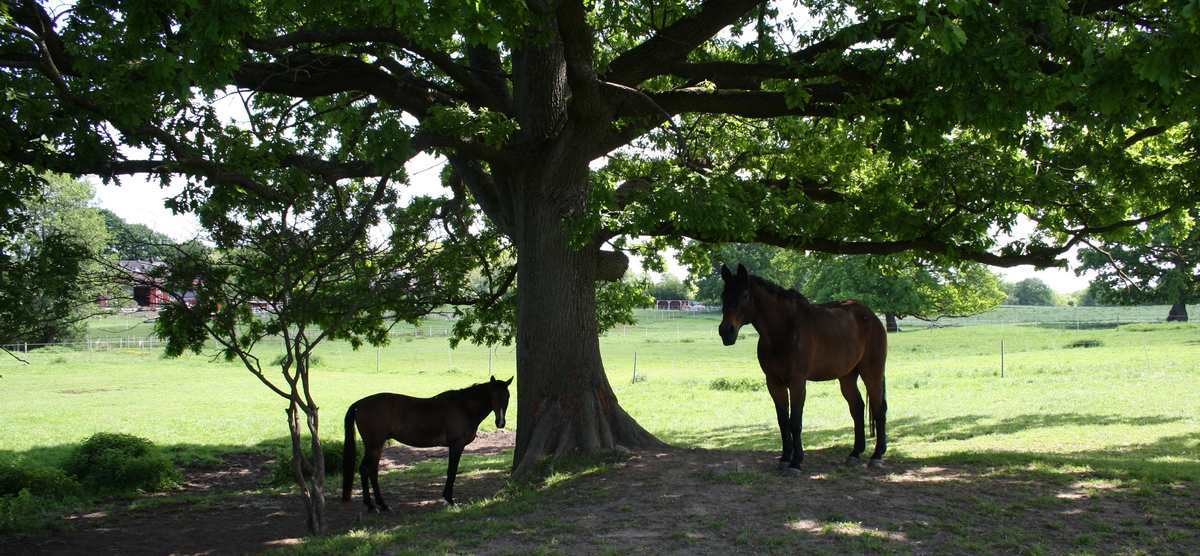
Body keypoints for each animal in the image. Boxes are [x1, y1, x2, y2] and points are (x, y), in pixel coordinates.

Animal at [343, 374, 511, 513]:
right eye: (494, 396)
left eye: (508, 397)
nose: (500, 423)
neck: (463, 407)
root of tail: (359, 404)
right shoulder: (456, 445)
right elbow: (452, 471)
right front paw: (449, 500)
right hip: (374, 445)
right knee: (365, 470)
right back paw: (372, 505)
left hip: (376, 446)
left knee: (372, 471)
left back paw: (380, 504)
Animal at [715, 264, 888, 470]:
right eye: (723, 295)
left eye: (745, 295)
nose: (726, 331)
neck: (783, 330)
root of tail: (872, 317)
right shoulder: (774, 383)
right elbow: (783, 421)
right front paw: (784, 458)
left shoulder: (797, 382)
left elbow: (795, 422)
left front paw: (796, 462)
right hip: (847, 377)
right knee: (857, 408)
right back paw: (855, 453)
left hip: (872, 373)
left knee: (879, 409)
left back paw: (877, 455)